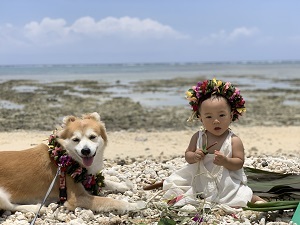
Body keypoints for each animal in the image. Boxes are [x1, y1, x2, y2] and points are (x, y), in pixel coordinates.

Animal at [0, 112, 145, 214]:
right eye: (76, 139)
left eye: (92, 137)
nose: (85, 150)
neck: (66, 159)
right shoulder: (77, 198)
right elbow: (110, 201)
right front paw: (134, 205)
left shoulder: (88, 178)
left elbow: (106, 181)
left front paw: (123, 185)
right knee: (10, 206)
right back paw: (35, 209)